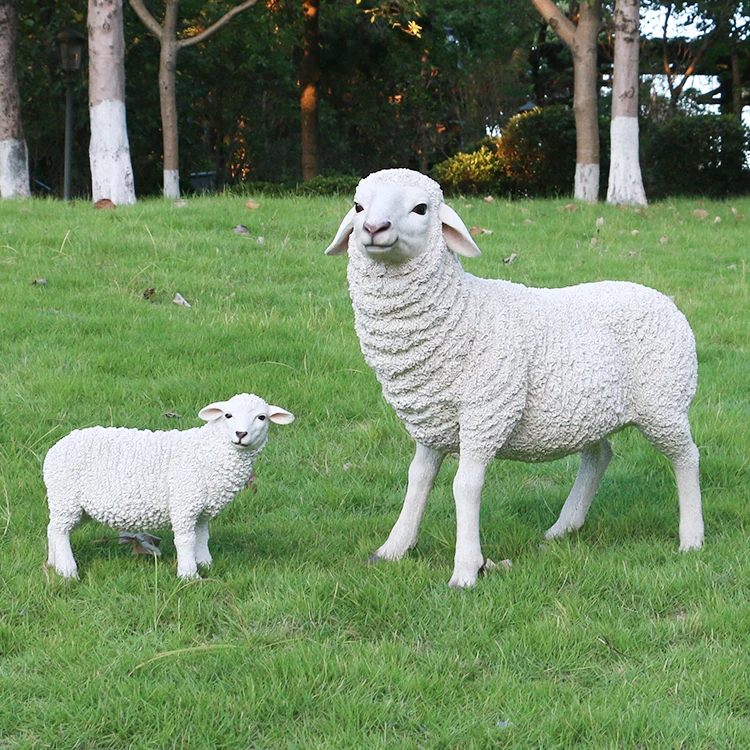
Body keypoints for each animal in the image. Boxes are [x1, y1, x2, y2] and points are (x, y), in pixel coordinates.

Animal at [44, 393, 294, 580]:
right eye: (228, 415)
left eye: (261, 417)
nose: (241, 434)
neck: (209, 452)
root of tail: (55, 448)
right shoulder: (184, 503)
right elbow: (185, 539)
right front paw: (189, 574)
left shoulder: (201, 510)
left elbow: (202, 536)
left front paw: (205, 563)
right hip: (65, 496)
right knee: (59, 531)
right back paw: (68, 571)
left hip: (75, 505)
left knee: (53, 528)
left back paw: (52, 564)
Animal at [325, 168, 704, 588]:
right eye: (358, 206)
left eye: (420, 208)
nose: (374, 228)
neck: (462, 312)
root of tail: (665, 300)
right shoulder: (431, 421)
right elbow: (418, 479)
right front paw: (393, 549)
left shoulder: (486, 412)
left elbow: (465, 486)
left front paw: (466, 570)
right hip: (590, 410)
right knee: (599, 455)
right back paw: (564, 527)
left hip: (663, 403)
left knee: (687, 457)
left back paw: (691, 538)